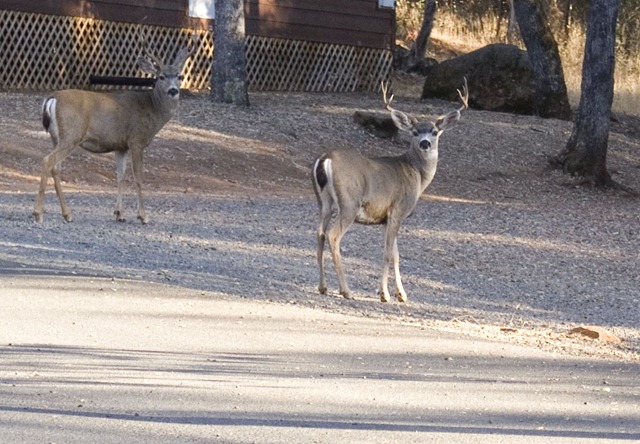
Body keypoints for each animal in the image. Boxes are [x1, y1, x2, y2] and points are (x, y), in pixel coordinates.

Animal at [33, 40, 192, 224]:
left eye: (179, 76)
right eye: (161, 77)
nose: (174, 91)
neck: (152, 109)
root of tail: (51, 98)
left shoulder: (120, 145)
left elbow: (120, 176)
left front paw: (119, 213)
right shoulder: (136, 140)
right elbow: (138, 177)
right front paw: (143, 216)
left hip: (57, 137)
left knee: (56, 167)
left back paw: (67, 214)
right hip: (72, 134)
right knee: (47, 161)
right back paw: (38, 213)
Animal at [312, 79, 468, 302]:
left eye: (434, 132)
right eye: (414, 132)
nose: (425, 143)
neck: (417, 173)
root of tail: (326, 158)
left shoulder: (387, 218)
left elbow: (396, 255)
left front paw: (401, 294)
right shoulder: (398, 210)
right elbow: (387, 253)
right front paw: (384, 294)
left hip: (324, 202)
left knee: (320, 234)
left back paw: (323, 287)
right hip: (349, 202)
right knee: (332, 236)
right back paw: (346, 290)